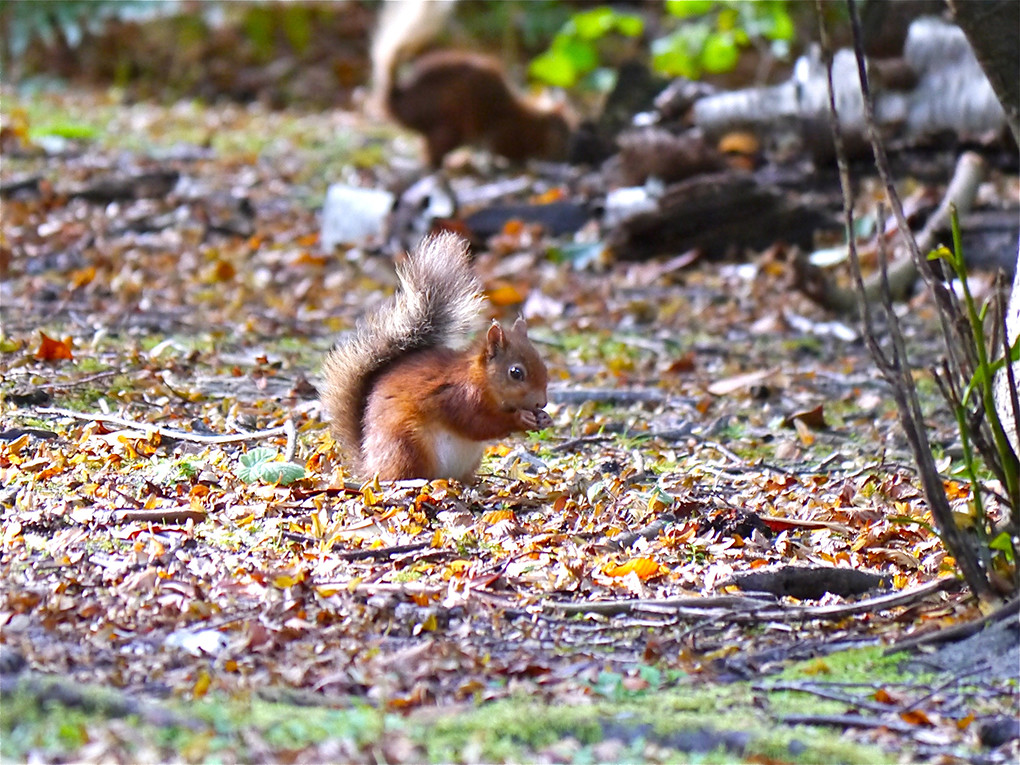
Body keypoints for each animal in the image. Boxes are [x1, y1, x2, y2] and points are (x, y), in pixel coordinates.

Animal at [322, 233, 554, 485]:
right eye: (516, 373)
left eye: (545, 368)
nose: (541, 403)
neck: (481, 380)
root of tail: (369, 466)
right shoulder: (458, 397)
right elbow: (479, 424)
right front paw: (521, 419)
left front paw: (544, 419)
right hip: (407, 444)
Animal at [369, 0, 575, 167]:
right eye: (561, 133)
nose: (566, 154)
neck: (531, 120)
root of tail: (400, 102)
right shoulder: (505, 134)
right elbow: (502, 150)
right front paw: (520, 161)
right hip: (448, 126)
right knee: (431, 154)